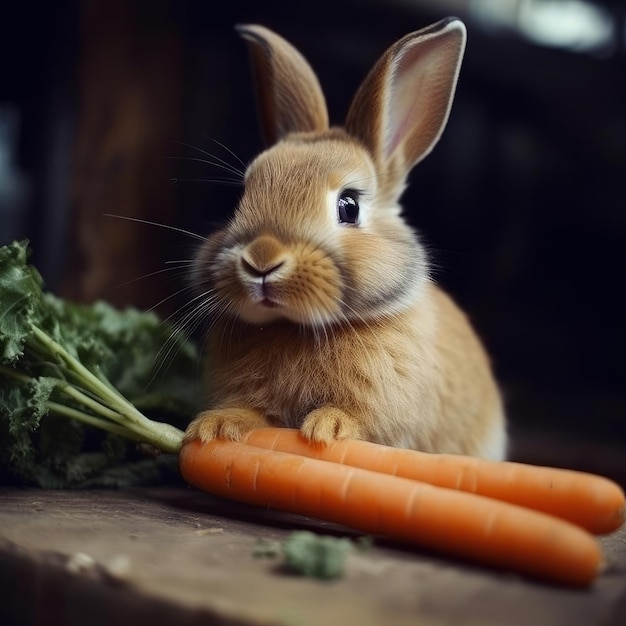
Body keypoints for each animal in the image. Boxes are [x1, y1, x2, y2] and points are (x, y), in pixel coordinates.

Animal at [183, 17, 504, 460]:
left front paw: (326, 428)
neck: (294, 329)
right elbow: (248, 412)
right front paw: (212, 427)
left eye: (348, 207)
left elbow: (358, 422)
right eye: (241, 197)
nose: (261, 260)